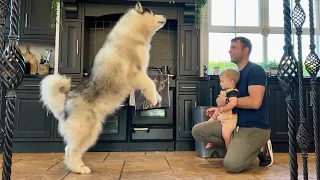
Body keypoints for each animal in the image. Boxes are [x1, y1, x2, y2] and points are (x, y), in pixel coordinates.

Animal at [39, 1, 166, 174]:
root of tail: (67, 101)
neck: (131, 36)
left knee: (69, 149)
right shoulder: (135, 73)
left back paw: (78, 167)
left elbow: (150, 84)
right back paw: (79, 169)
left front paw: (157, 97)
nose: (165, 15)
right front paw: (153, 99)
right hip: (87, 131)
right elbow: (149, 83)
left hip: (91, 133)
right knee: (71, 150)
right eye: (152, 13)